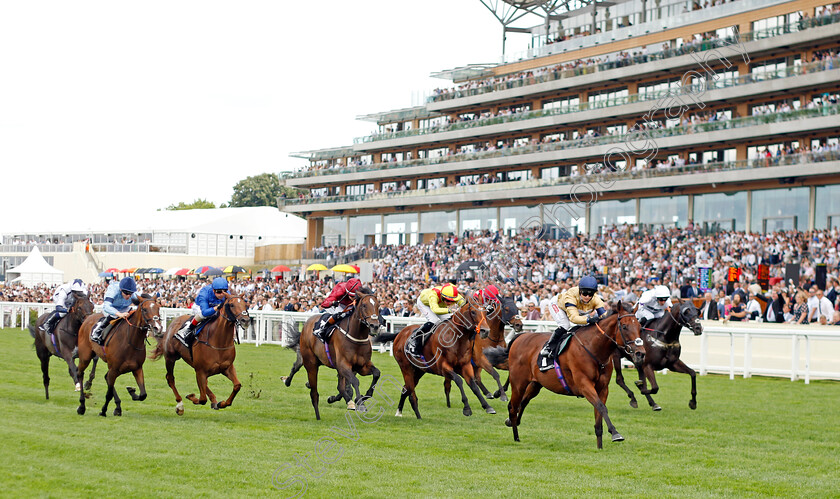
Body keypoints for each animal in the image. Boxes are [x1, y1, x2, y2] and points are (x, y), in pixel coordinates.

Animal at [284, 288, 386, 420]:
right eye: (364, 305)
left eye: (378, 306)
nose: (375, 326)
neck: (356, 336)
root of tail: (307, 323)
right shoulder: (344, 365)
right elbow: (355, 381)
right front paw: (360, 402)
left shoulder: (362, 366)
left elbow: (376, 374)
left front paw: (365, 396)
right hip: (310, 360)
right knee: (299, 368)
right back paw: (289, 382)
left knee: (340, 386)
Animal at [486, 302, 644, 452]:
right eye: (624, 326)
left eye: (640, 327)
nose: (640, 353)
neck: (593, 348)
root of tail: (521, 336)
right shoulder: (584, 385)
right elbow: (601, 407)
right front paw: (616, 434)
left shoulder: (603, 389)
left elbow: (599, 414)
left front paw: (600, 446)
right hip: (519, 382)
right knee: (513, 406)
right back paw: (516, 437)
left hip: (535, 384)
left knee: (523, 402)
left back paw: (511, 422)